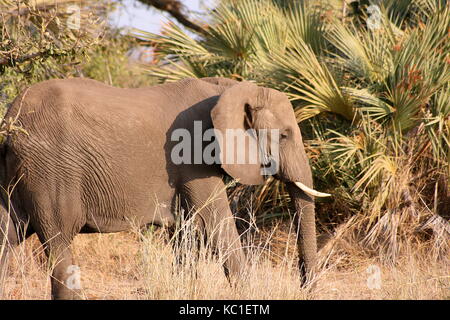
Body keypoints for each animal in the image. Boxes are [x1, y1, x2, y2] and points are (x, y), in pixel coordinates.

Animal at [0, 76, 330, 298]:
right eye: (284, 135)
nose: (305, 287)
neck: (227, 88)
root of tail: (10, 123)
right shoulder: (194, 155)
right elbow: (216, 223)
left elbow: (187, 233)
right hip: (51, 170)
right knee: (58, 242)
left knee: (7, 235)